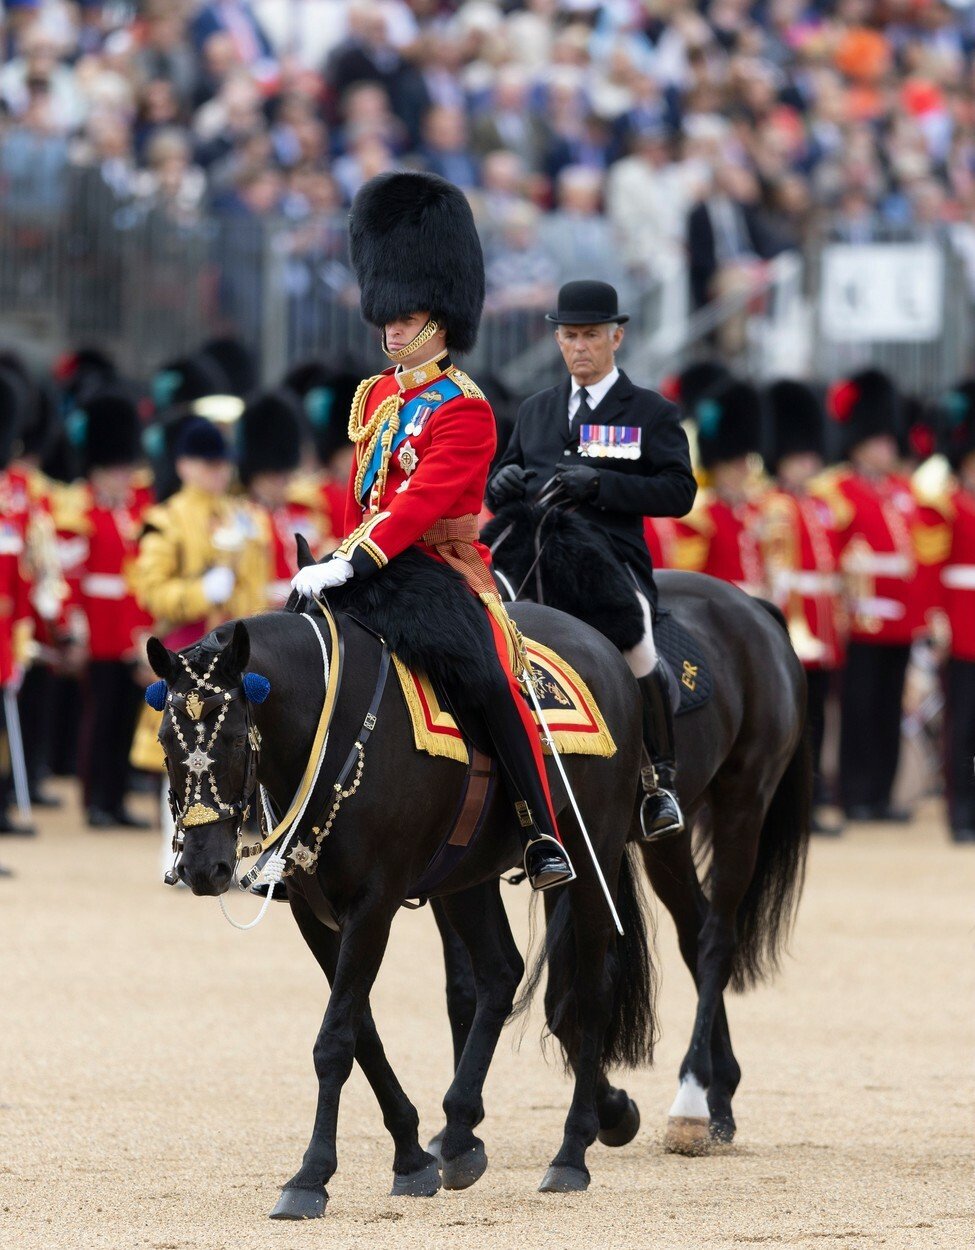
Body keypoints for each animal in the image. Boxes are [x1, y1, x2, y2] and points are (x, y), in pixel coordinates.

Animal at [146, 595, 655, 1220]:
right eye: (165, 741)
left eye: (239, 739)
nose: (202, 867)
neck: (329, 729)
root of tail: (604, 647)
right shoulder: (314, 914)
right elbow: (361, 1031)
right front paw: (411, 1156)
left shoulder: (373, 905)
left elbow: (335, 1041)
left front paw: (311, 1176)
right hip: (466, 878)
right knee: (499, 971)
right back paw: (459, 1133)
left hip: (592, 853)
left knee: (591, 988)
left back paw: (571, 1151)